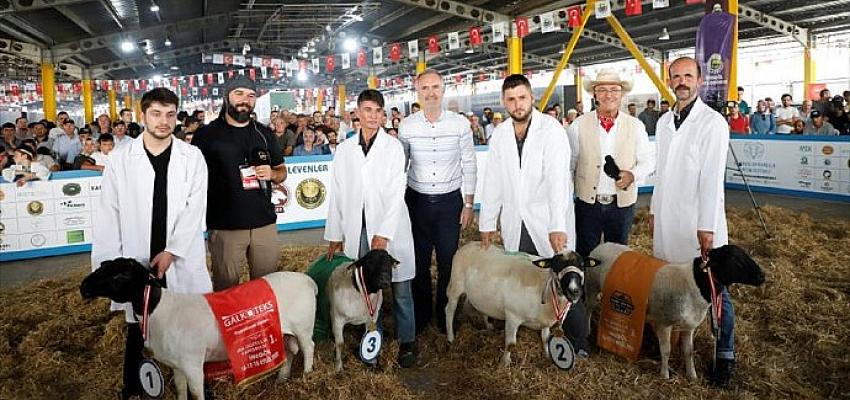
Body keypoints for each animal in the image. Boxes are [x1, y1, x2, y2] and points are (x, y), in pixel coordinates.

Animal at [80, 258, 317, 400]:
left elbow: (195, 392)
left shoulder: (192, 363)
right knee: (291, 351)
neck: (158, 309)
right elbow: (181, 389)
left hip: (303, 325)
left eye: (120, 275)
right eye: (102, 267)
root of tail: (307, 280)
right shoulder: (176, 364)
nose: (83, 287)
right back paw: (282, 379)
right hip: (283, 330)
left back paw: (307, 376)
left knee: (308, 348)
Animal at [445, 242, 599, 367]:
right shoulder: (513, 316)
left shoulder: (544, 320)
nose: (574, 291)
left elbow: (545, 338)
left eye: (582, 265)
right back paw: (451, 338)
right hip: (456, 286)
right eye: (556, 266)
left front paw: (547, 354)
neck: (546, 288)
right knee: (449, 310)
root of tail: (469, 244)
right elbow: (511, 344)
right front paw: (505, 364)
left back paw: (488, 326)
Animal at [585, 243, 765, 380]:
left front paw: (692, 375)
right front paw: (665, 375)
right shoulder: (663, 322)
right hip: (592, 286)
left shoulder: (689, 326)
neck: (695, 284)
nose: (762, 276)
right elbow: (666, 350)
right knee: (588, 308)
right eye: (735, 260)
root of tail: (602, 245)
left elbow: (688, 351)